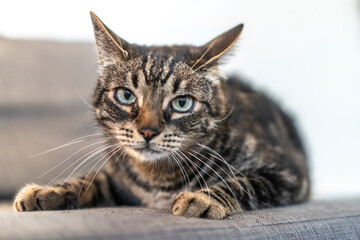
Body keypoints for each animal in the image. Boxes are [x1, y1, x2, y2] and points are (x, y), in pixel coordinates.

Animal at [13, 12, 310, 220]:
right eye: (126, 95)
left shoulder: (290, 174)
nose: (148, 131)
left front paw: (203, 199)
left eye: (182, 103)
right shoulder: (118, 180)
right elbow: (88, 180)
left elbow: (242, 183)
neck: (157, 179)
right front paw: (47, 191)